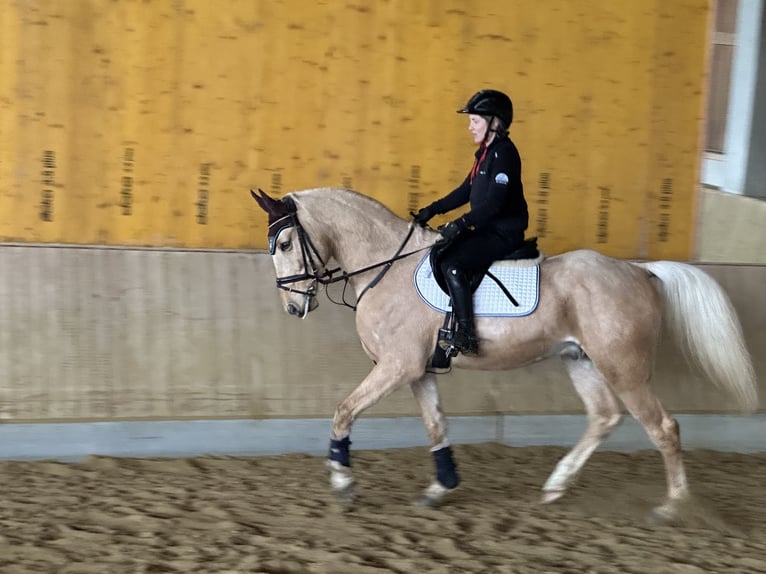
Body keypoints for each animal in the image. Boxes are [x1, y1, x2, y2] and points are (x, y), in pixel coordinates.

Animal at [250, 187, 756, 520]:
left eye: (286, 243)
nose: (294, 307)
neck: (386, 267)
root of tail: (640, 271)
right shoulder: (417, 370)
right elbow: (436, 424)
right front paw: (441, 487)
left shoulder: (397, 366)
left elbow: (343, 411)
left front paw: (342, 482)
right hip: (581, 360)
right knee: (604, 417)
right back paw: (555, 486)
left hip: (624, 368)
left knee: (663, 428)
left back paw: (673, 506)